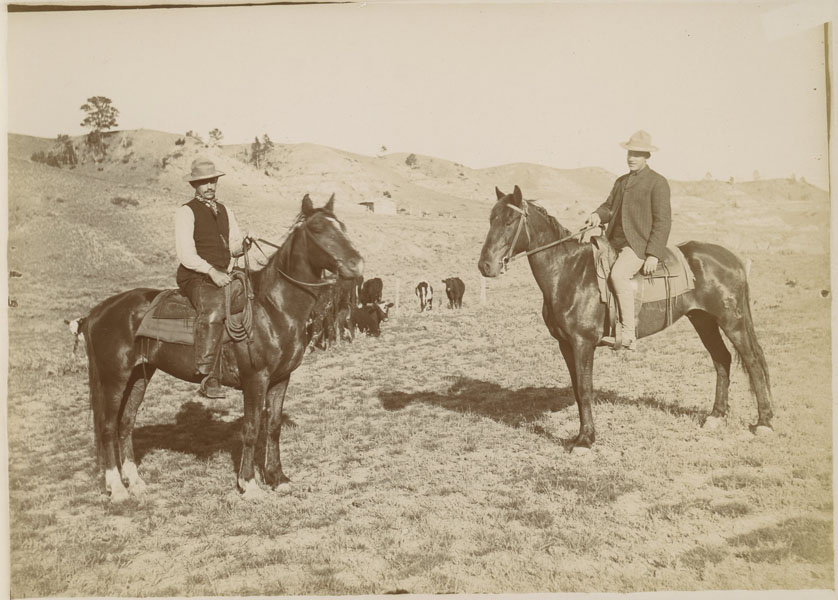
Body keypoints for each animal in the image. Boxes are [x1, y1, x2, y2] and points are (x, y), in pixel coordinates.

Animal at [79, 195, 364, 500]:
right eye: (318, 229)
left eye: (342, 225)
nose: (357, 264)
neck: (273, 309)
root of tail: (96, 312)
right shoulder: (255, 380)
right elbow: (251, 428)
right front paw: (249, 483)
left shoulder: (281, 379)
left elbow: (273, 427)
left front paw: (278, 478)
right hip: (114, 378)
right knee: (108, 427)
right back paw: (117, 488)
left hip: (139, 376)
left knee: (126, 424)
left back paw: (135, 482)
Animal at [480, 185, 776, 452]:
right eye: (491, 218)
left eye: (510, 221)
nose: (485, 266)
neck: (569, 272)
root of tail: (732, 259)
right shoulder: (565, 344)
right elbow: (577, 390)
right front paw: (583, 435)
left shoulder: (583, 343)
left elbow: (585, 390)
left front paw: (585, 440)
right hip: (702, 320)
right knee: (722, 359)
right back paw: (716, 416)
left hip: (732, 322)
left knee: (752, 361)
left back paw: (764, 422)